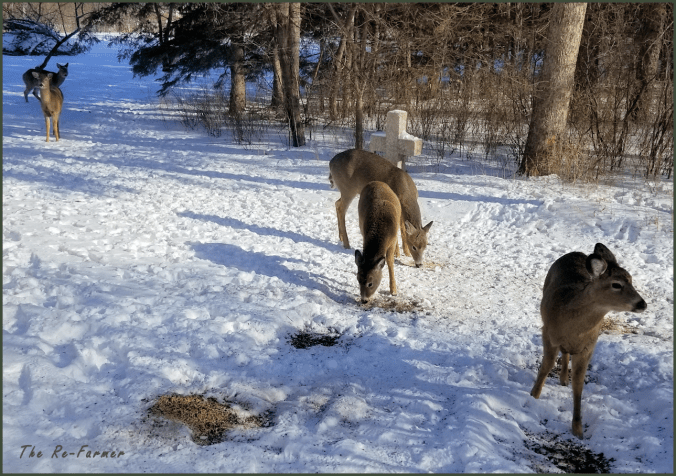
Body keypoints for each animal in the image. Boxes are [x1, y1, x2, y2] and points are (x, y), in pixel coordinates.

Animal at [530, 243, 647, 439]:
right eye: (616, 284)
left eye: (631, 279)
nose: (642, 304)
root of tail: (574, 253)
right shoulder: (548, 332)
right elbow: (546, 366)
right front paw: (533, 396)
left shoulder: (588, 347)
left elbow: (578, 384)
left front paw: (578, 429)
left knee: (566, 353)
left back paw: (563, 379)